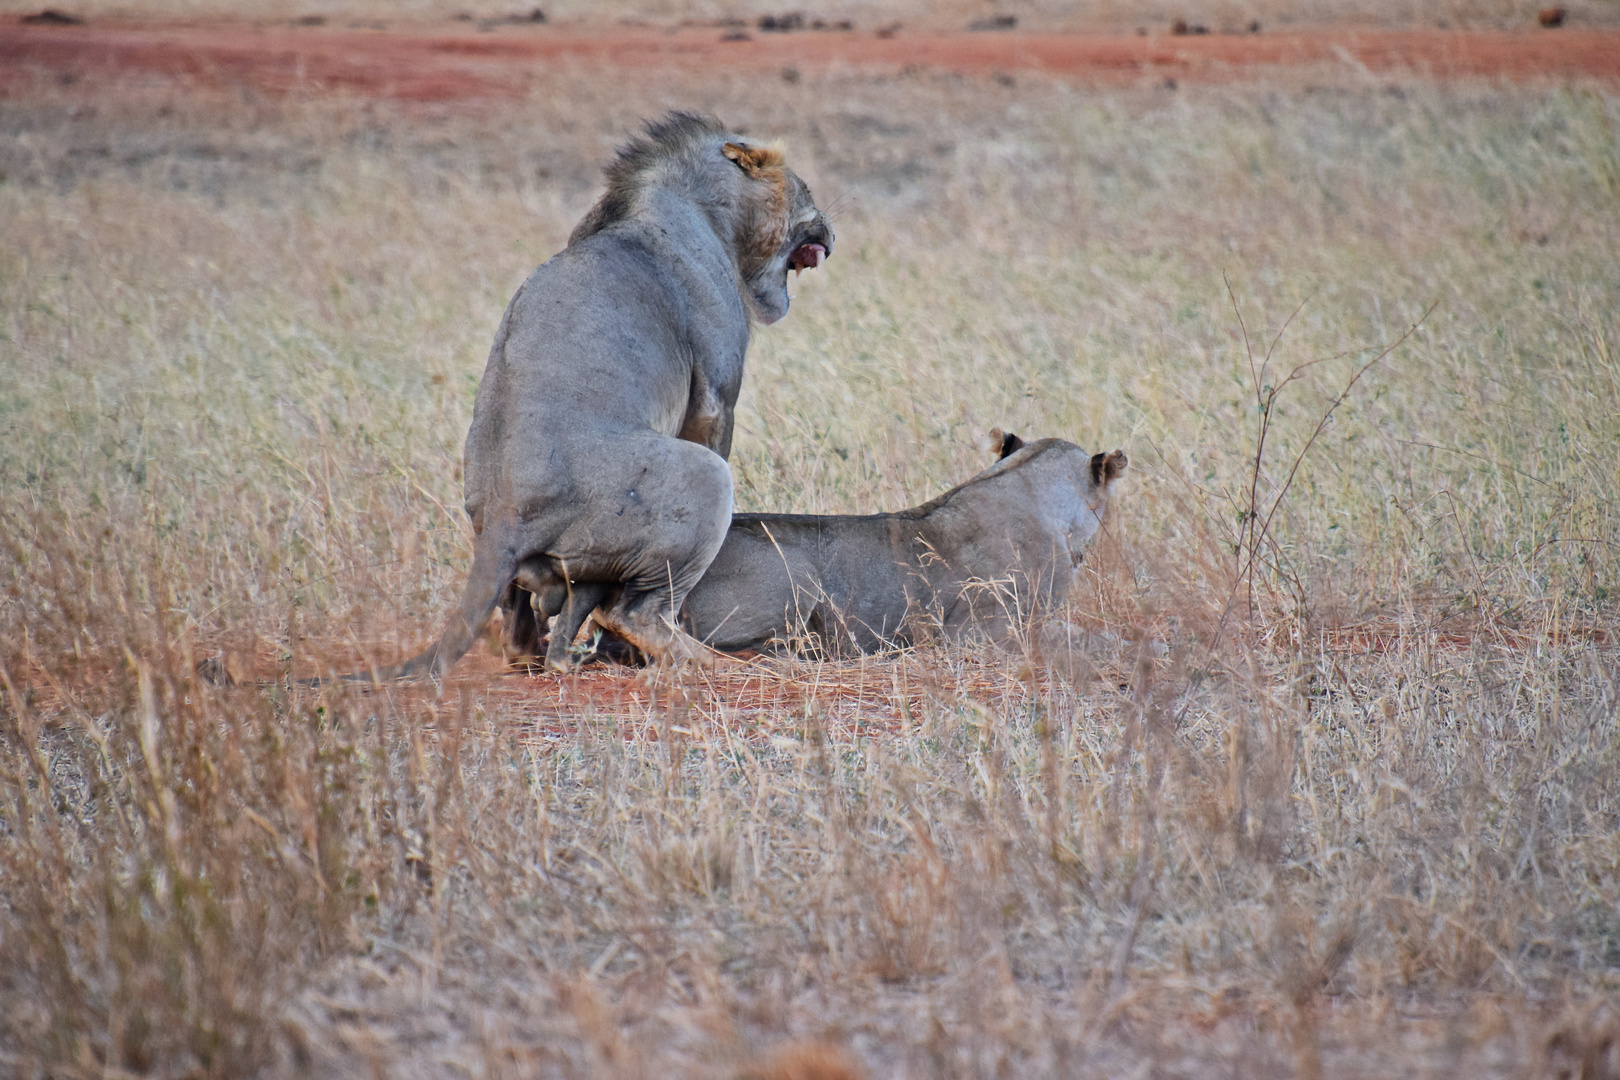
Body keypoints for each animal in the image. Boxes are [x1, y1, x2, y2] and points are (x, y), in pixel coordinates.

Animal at [362, 114, 835, 680]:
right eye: (807, 191)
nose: (830, 229)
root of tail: (505, 514)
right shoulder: (715, 395)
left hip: (495, 538)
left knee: (522, 621)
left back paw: (544, 650)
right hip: (703, 479)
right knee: (635, 613)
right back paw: (717, 663)